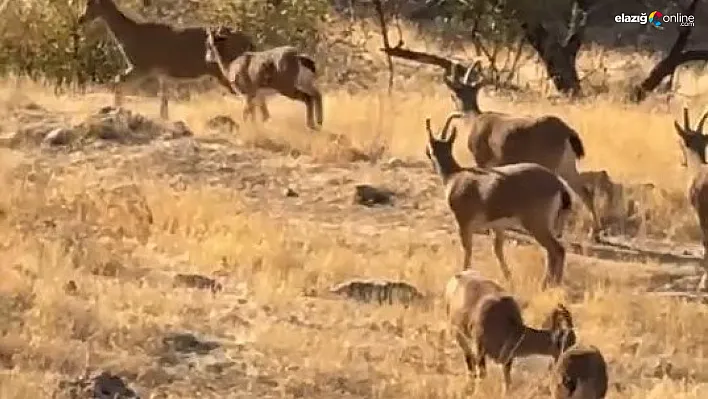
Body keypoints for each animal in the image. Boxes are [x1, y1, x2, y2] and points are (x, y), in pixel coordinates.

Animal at [78, 0, 254, 119]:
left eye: (91, 2)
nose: (80, 18)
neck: (129, 35)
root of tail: (248, 40)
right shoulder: (160, 73)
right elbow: (163, 97)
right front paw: (164, 117)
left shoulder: (142, 66)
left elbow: (118, 80)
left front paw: (115, 110)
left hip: (226, 71)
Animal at [424, 114, 572, 290]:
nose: (428, 154)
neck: (455, 176)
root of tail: (558, 184)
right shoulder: (498, 226)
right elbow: (498, 250)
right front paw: (508, 278)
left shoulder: (463, 223)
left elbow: (468, 249)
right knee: (554, 251)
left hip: (536, 224)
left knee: (556, 249)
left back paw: (547, 285)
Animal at [446, 65, 600, 241]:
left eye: (454, 94)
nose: (456, 110)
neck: (474, 121)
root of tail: (568, 132)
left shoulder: (482, 160)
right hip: (567, 166)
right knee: (585, 192)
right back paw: (593, 233)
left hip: (552, 164)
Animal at [446, 270, 580, 396]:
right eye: (567, 344)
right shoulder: (479, 349)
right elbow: (483, 373)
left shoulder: (507, 359)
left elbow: (507, 381)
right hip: (459, 335)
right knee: (469, 360)